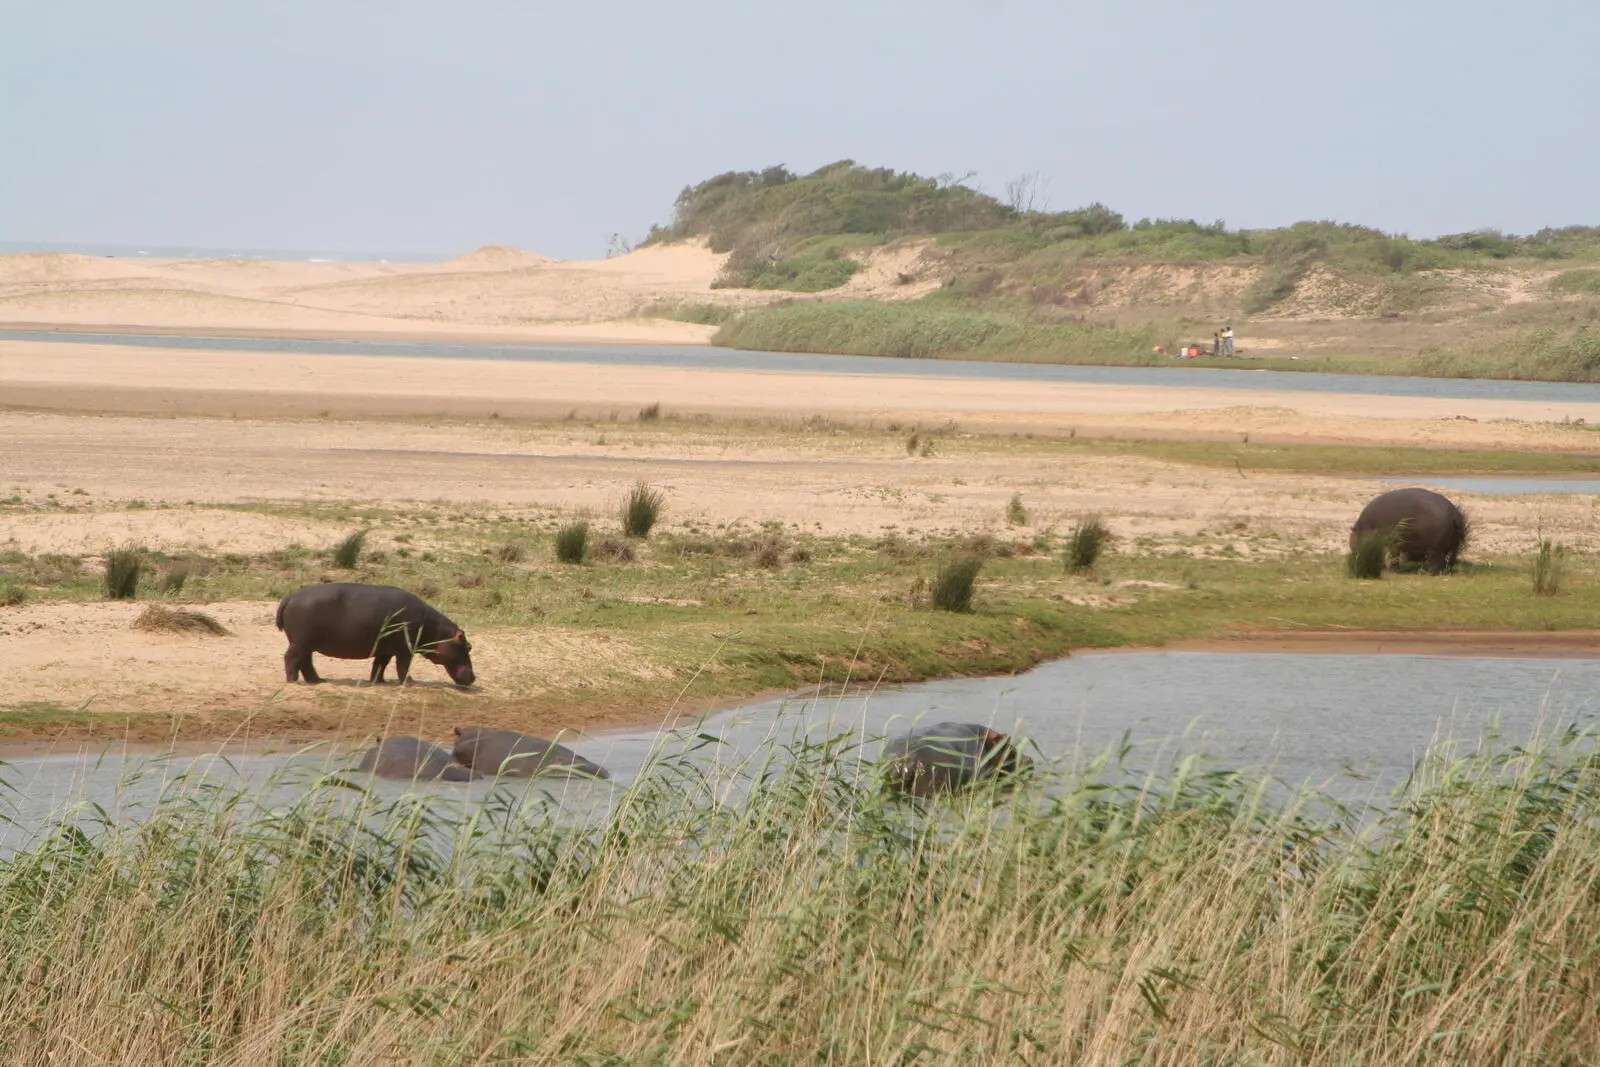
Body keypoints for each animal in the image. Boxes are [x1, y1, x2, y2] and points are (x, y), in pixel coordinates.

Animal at [275, 582, 475, 686]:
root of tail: (289, 597)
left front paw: (379, 682)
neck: (436, 631)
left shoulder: (385, 649)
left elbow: (380, 665)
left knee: (305, 661)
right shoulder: (405, 650)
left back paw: (317, 681)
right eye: (468, 646)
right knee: (291, 658)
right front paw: (410, 683)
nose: (474, 678)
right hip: (301, 642)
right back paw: (293, 681)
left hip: (306, 643)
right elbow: (403, 666)